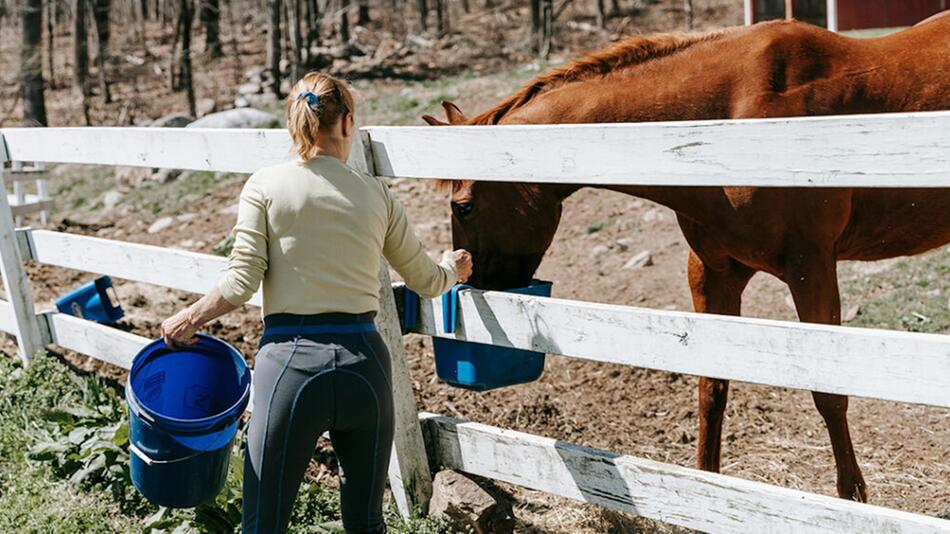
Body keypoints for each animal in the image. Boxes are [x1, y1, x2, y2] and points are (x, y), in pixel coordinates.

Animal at [424, 14, 950, 504]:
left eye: (463, 205)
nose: (474, 284)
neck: (727, 121)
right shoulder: (714, 273)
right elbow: (711, 388)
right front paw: (705, 487)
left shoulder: (812, 269)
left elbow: (829, 392)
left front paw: (852, 497)